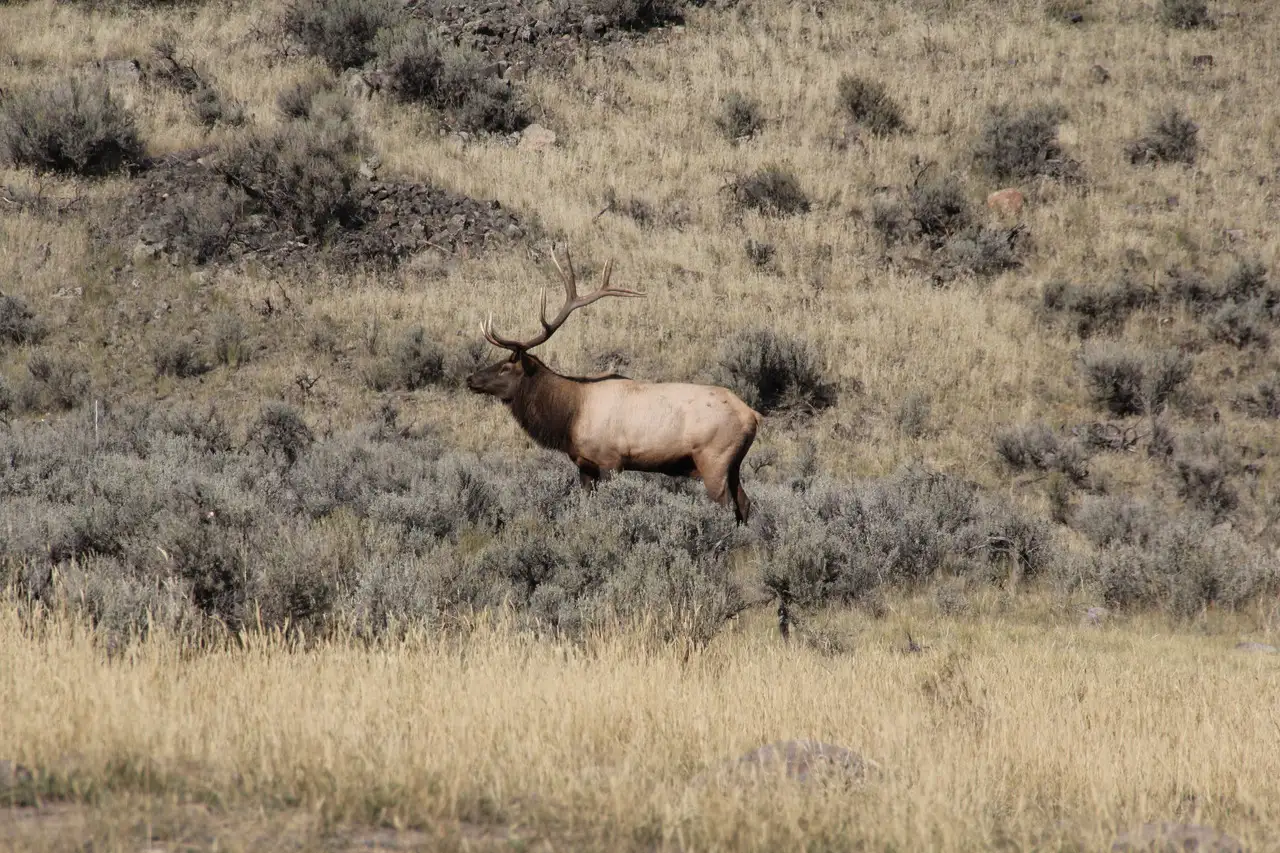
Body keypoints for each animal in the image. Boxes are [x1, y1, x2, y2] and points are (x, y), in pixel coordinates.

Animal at [468, 245, 757, 522]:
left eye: (506, 367)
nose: (471, 379)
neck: (569, 416)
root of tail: (753, 416)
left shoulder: (610, 460)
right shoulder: (584, 463)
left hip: (714, 458)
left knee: (726, 505)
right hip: (733, 463)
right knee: (745, 504)